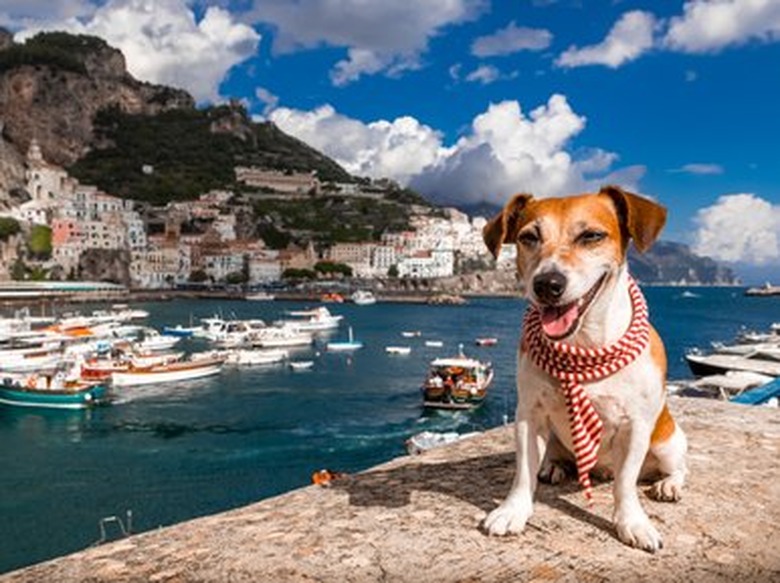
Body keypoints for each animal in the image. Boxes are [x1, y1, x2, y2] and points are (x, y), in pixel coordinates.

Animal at [482, 186, 688, 552]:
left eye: (591, 236)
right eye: (529, 237)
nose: (547, 283)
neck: (583, 344)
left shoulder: (636, 426)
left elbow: (625, 482)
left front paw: (632, 522)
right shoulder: (529, 414)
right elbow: (523, 472)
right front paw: (513, 510)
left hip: (667, 443)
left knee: (678, 467)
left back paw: (669, 485)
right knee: (551, 455)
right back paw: (553, 466)